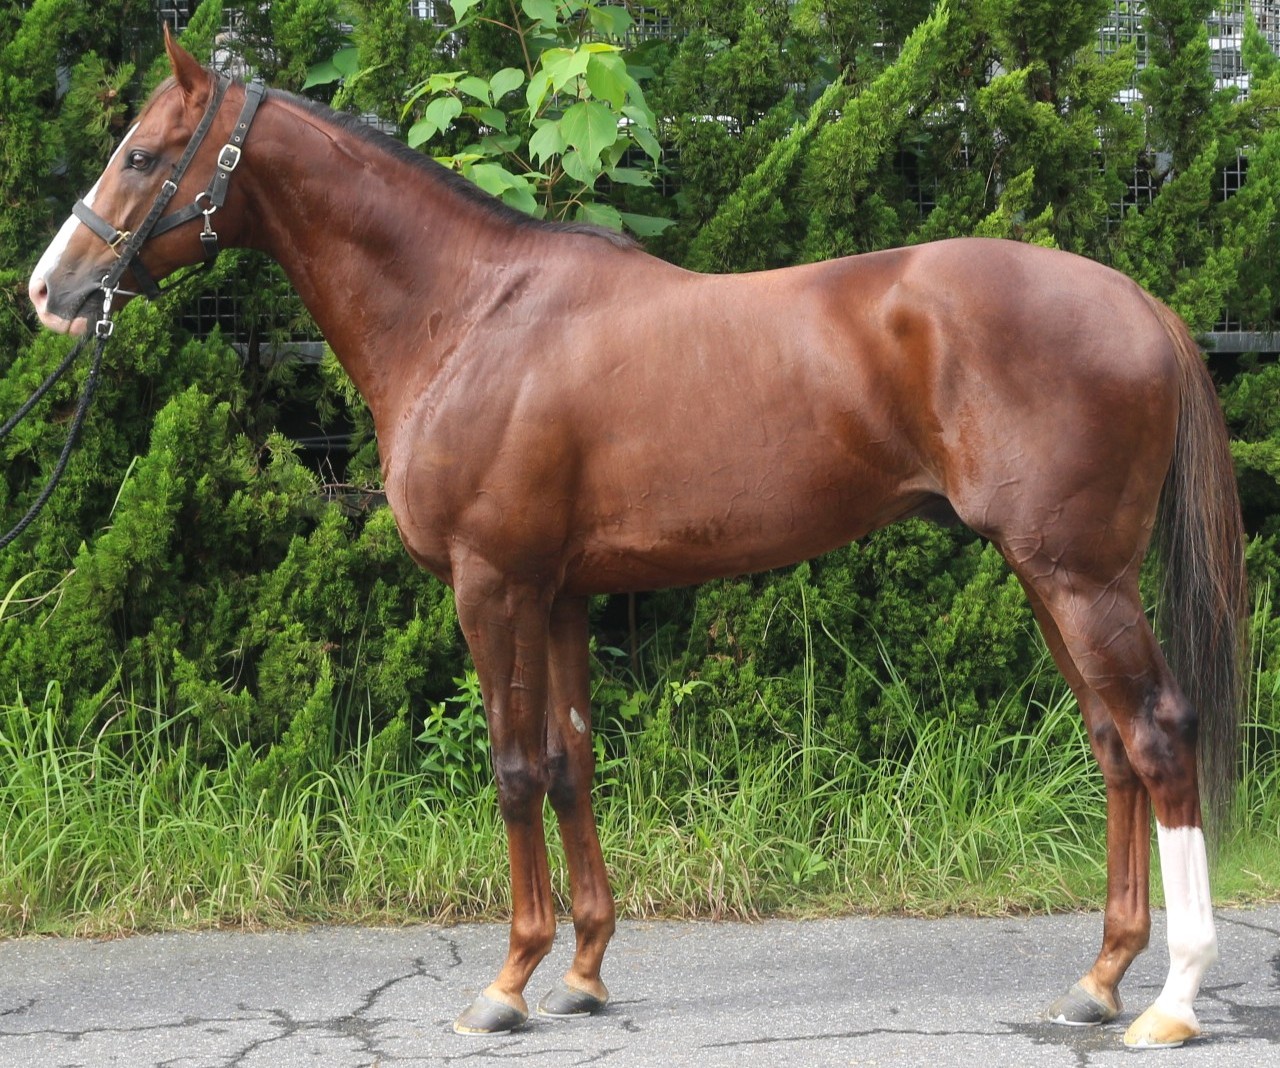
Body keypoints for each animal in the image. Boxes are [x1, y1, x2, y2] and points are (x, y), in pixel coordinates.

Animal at [27, 31, 1245, 1049]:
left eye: (142, 155)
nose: (50, 291)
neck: (471, 316)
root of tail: (1139, 302)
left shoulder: (493, 584)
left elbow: (514, 768)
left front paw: (505, 986)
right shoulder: (561, 592)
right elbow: (573, 765)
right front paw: (582, 972)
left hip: (1079, 576)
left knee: (1157, 734)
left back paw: (1173, 1001)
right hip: (1047, 576)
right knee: (1111, 744)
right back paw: (1098, 980)